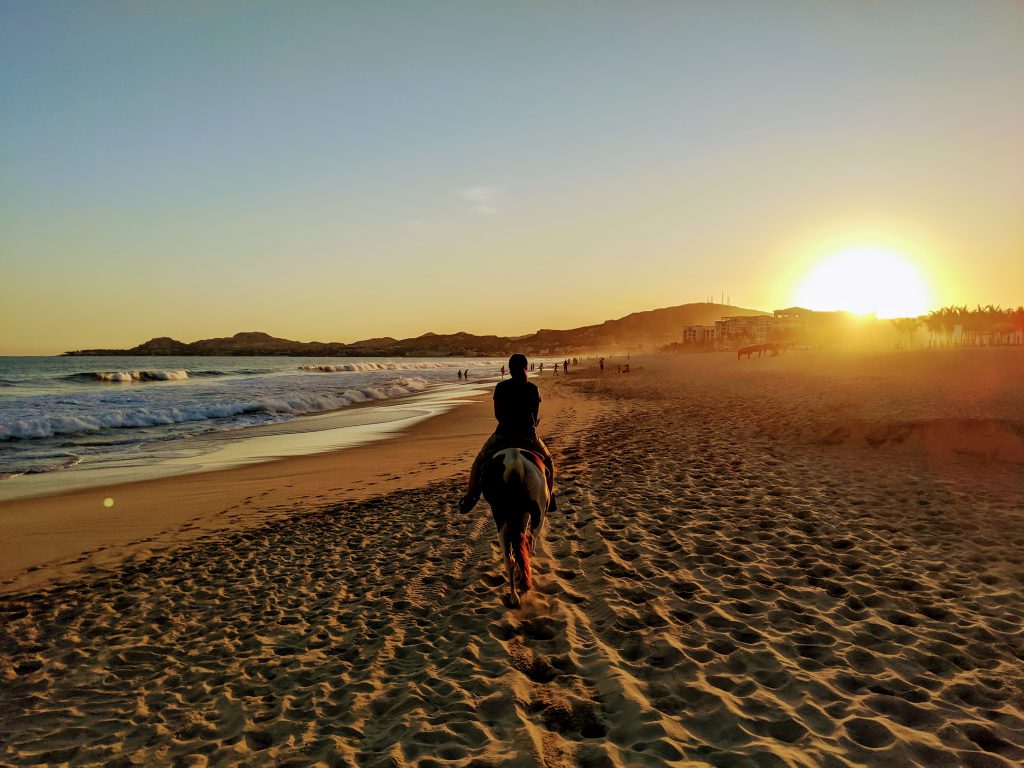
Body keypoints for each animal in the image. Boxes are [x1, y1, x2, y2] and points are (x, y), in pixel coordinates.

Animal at [481, 448, 552, 610]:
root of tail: (515, 462)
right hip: (538, 516)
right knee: (529, 543)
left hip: (501, 518)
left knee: (510, 559)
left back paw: (514, 597)